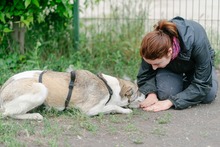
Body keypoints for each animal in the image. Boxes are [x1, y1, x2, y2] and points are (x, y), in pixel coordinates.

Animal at [0, 69, 145, 120]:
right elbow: (113, 106)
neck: (109, 87)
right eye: (138, 91)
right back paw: (34, 116)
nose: (145, 95)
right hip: (41, 89)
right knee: (8, 113)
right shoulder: (89, 110)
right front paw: (125, 110)